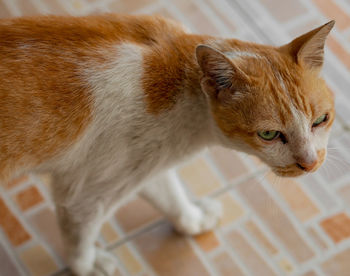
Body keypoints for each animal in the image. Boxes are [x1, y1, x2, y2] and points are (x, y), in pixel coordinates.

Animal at [0, 15, 334, 276]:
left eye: (321, 120)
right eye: (268, 134)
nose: (310, 162)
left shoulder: (142, 164)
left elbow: (170, 195)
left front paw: (193, 219)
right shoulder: (86, 193)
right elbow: (80, 236)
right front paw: (87, 265)